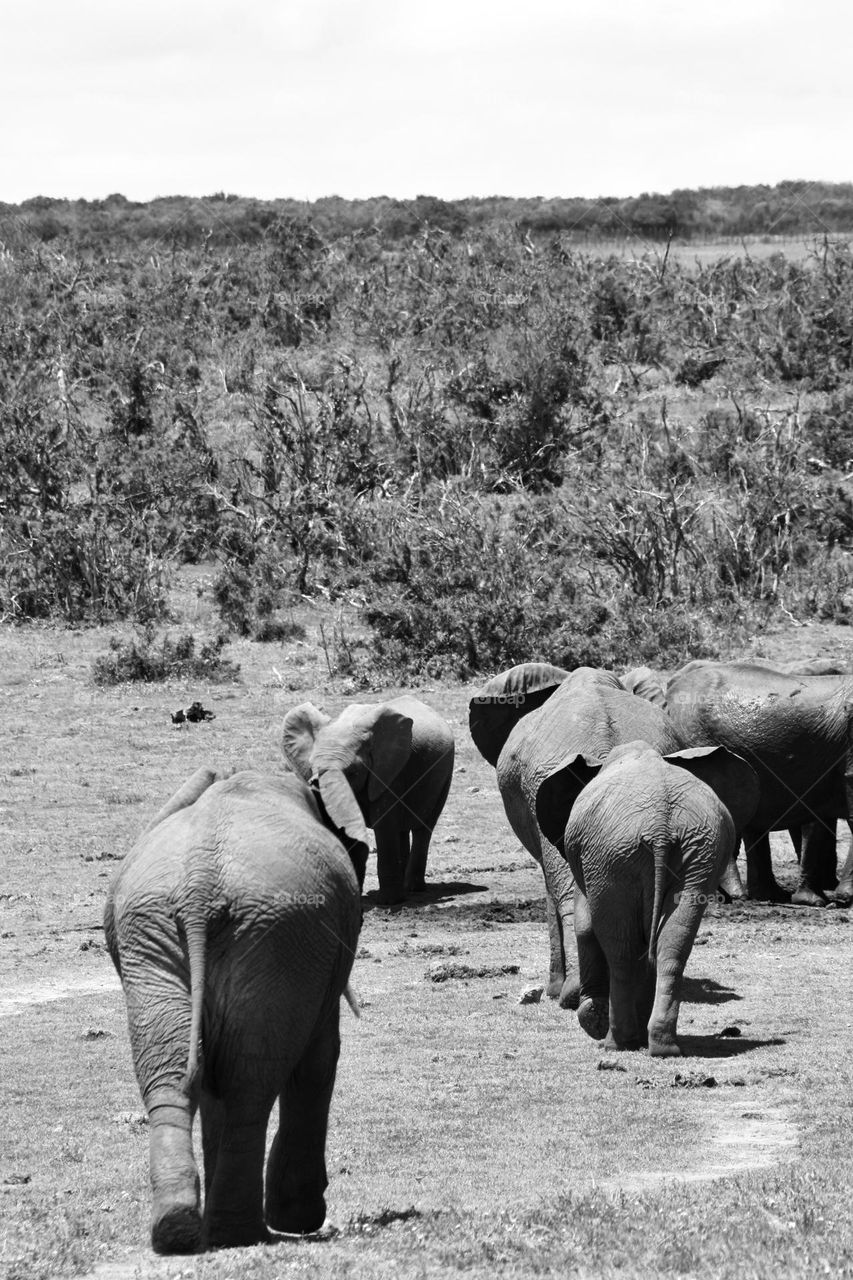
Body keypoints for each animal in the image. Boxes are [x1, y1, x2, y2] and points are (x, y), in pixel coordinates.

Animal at [103, 762, 361, 1254]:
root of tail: (199, 889)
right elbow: (320, 1059)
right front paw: (299, 1220)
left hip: (165, 937)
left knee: (180, 1074)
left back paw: (181, 1230)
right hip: (276, 941)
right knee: (251, 1081)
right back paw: (236, 1233)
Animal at [280, 696, 455, 906]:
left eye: (353, 772)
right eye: (313, 768)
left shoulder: (388, 772)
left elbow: (383, 825)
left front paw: (389, 902)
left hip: (444, 775)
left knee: (423, 827)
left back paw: (413, 889)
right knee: (401, 830)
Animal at [535, 737, 753, 1054]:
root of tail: (660, 826)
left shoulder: (590, 863)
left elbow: (585, 924)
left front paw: (592, 1018)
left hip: (611, 858)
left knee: (621, 948)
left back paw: (617, 1043)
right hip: (697, 852)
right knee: (672, 943)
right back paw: (663, 1046)